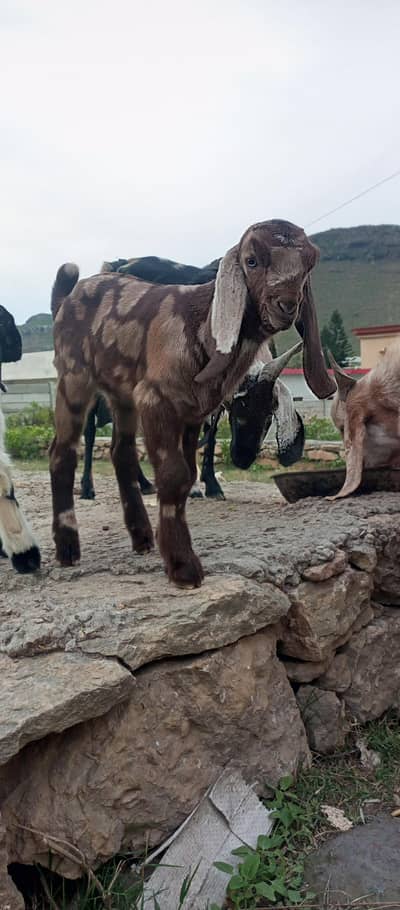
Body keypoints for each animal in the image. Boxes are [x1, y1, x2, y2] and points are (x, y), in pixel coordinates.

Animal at [50, 219, 334, 588]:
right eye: (251, 260)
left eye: (310, 263)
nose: (286, 305)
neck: (199, 323)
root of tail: (66, 298)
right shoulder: (155, 400)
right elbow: (174, 475)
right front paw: (183, 566)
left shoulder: (192, 412)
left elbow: (189, 472)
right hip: (74, 379)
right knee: (62, 451)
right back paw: (68, 546)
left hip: (122, 395)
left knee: (121, 452)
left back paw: (142, 536)